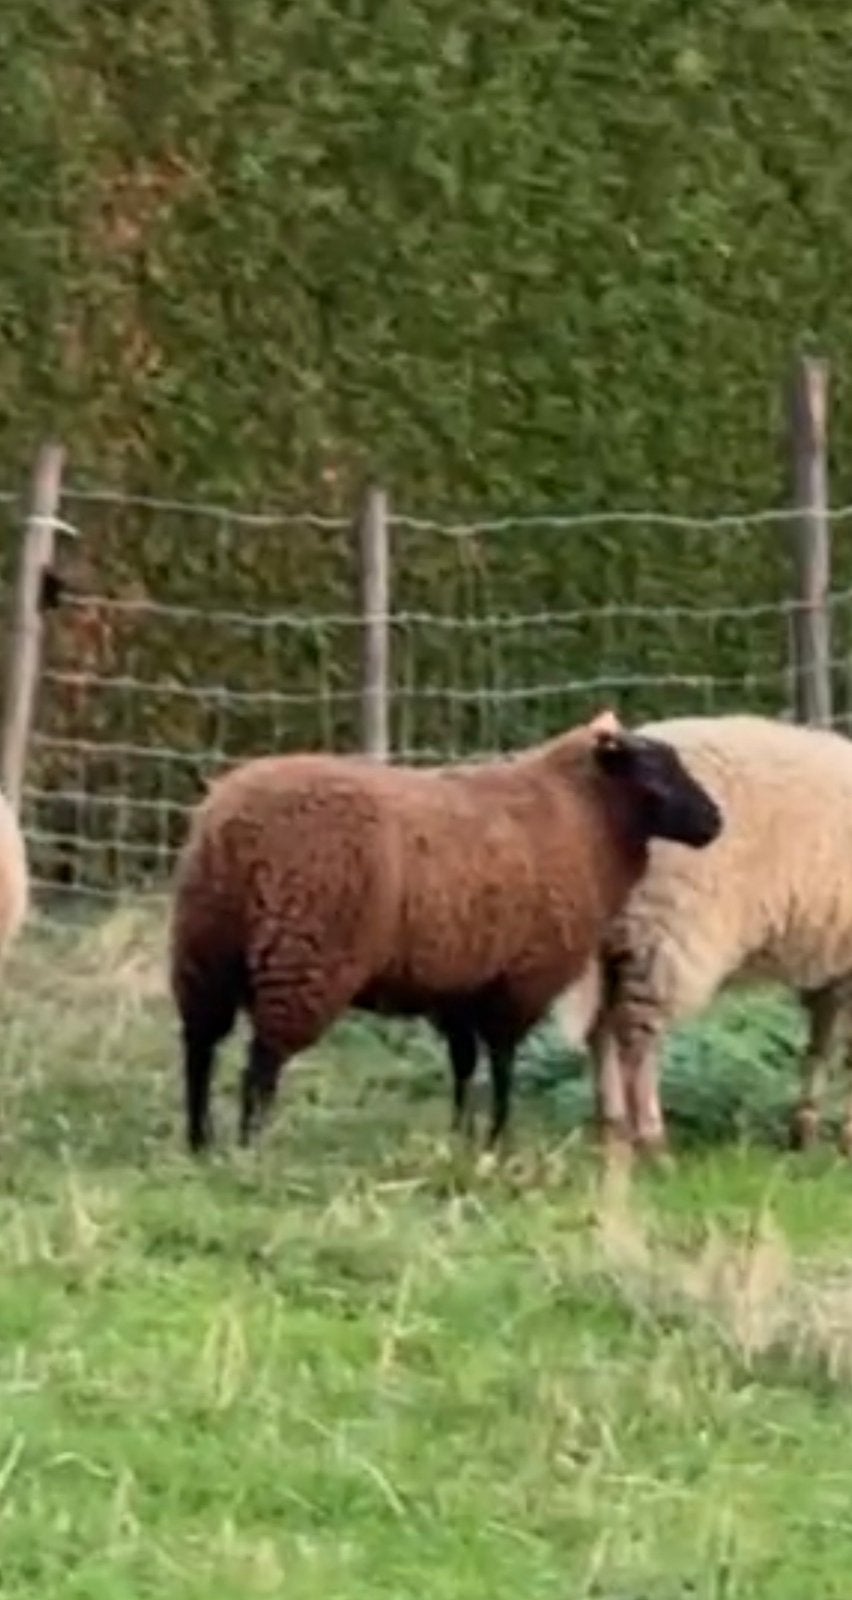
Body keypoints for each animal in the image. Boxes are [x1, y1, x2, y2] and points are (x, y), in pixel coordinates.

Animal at [168, 710, 722, 1155]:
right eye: (653, 773)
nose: (715, 822)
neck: (580, 817)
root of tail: (231, 824)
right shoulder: (520, 980)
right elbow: (502, 1063)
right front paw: (498, 1139)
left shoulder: (459, 983)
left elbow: (463, 1064)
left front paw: (460, 1135)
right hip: (305, 954)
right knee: (261, 1062)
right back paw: (250, 1148)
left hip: (206, 946)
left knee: (199, 1048)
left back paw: (200, 1143)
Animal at [554, 712, 852, 1159]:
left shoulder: (835, 967)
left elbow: (822, 1045)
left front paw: (806, 1133)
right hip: (666, 928)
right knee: (636, 1039)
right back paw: (652, 1142)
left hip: (620, 937)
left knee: (602, 1029)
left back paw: (613, 1129)